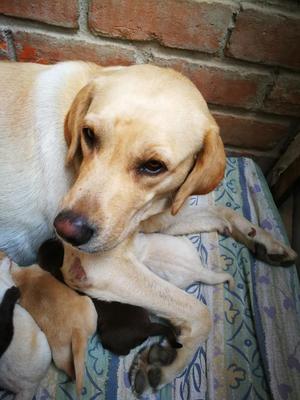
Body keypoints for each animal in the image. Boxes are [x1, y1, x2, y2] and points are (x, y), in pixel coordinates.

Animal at [38, 239, 182, 354]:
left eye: (55, 247)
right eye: (59, 245)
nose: (46, 241)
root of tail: (147, 328)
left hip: (109, 336)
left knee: (124, 351)